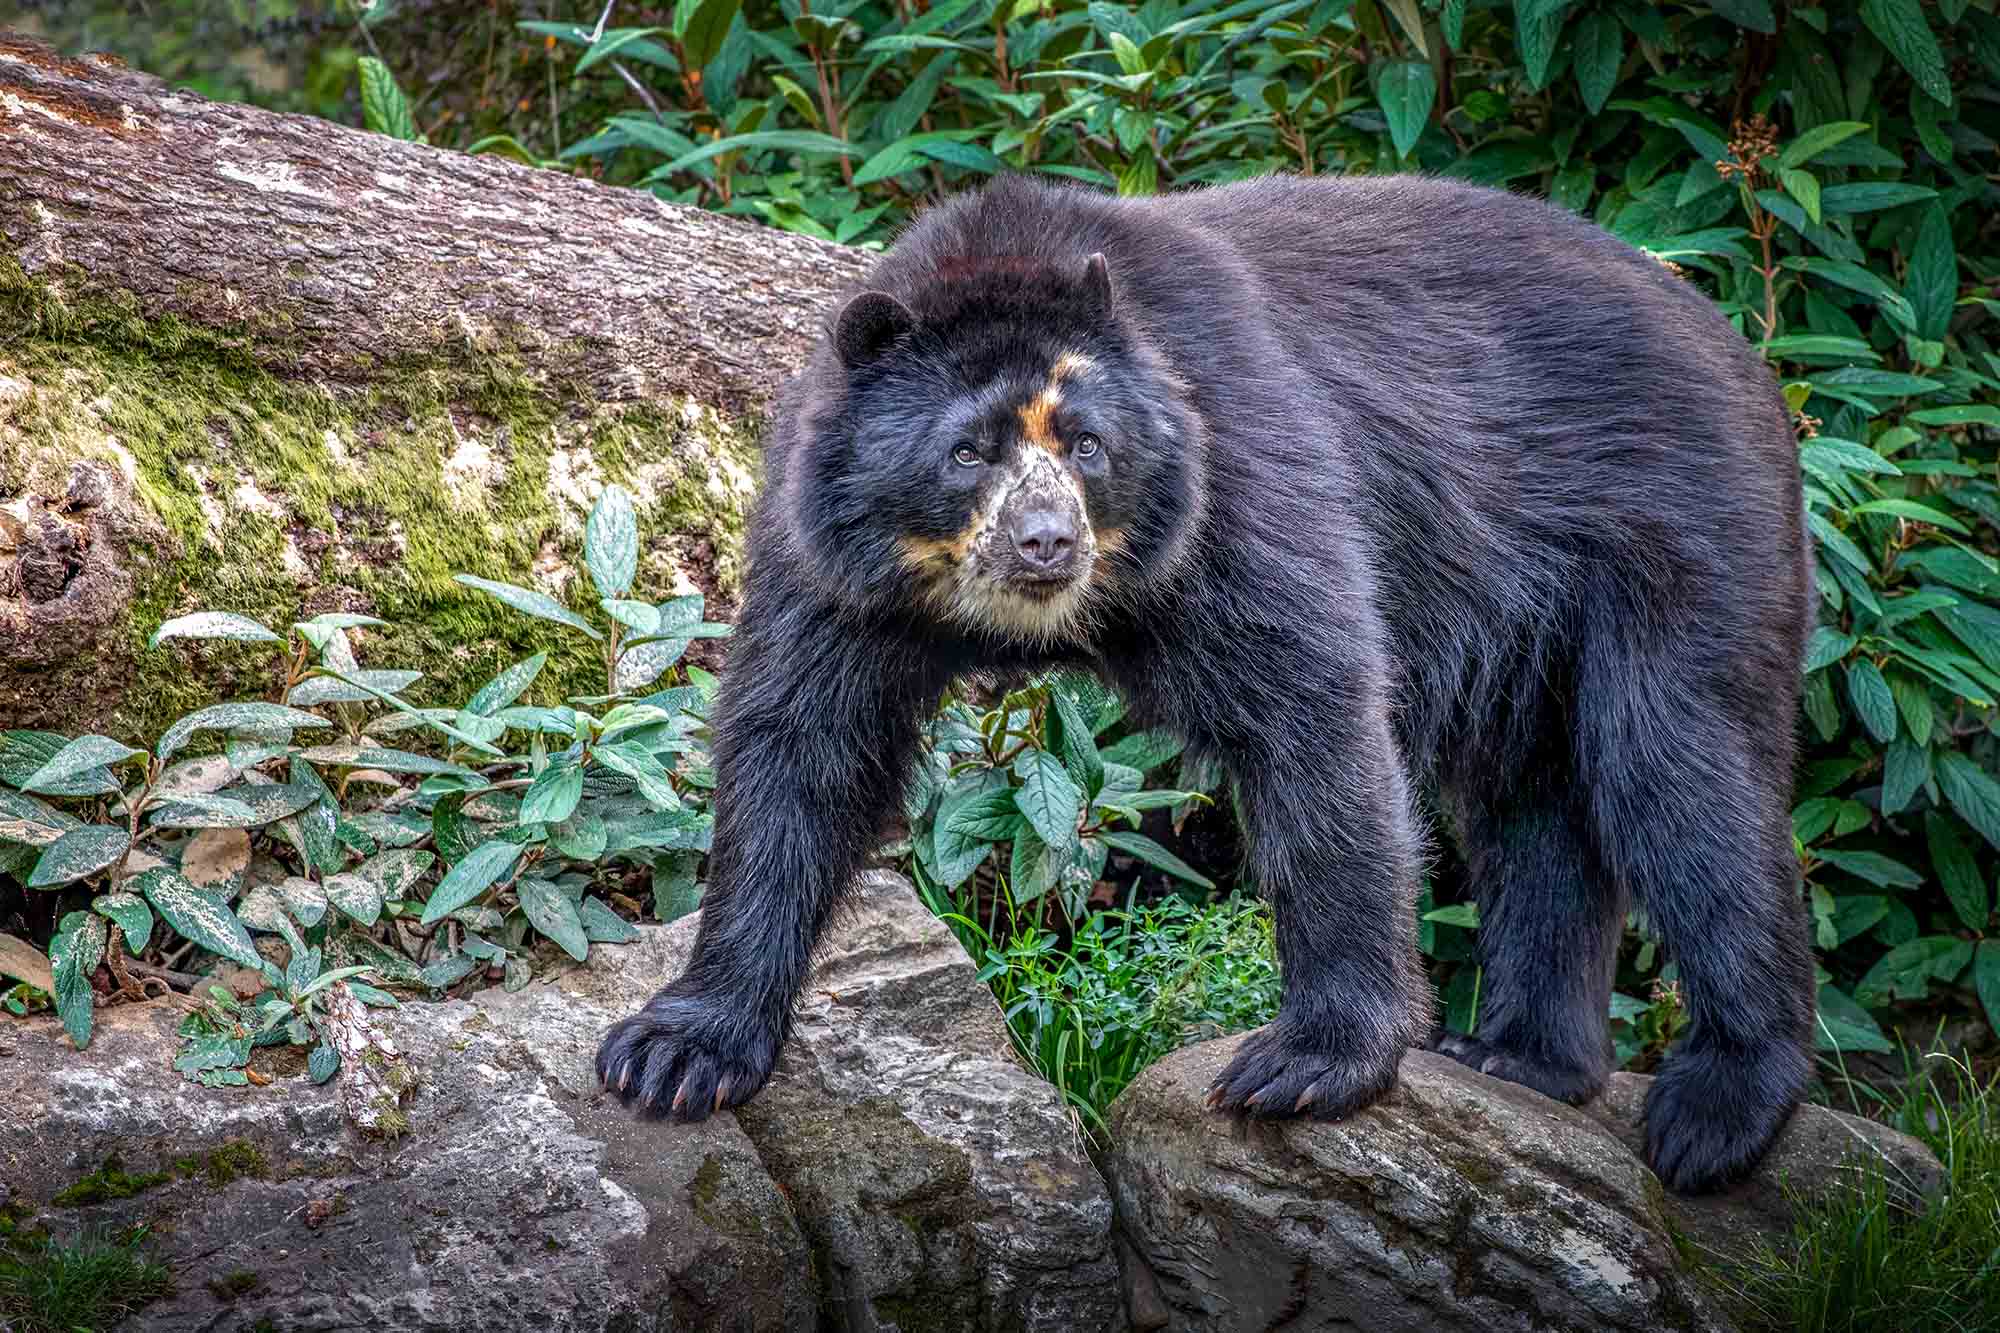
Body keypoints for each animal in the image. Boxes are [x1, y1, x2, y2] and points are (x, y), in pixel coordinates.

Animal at [596, 171, 1816, 1196]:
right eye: (966, 453)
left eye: (1086, 444)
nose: (1045, 544)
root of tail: (1736, 344)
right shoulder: (834, 562)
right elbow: (800, 744)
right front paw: (672, 1051)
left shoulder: (1233, 473)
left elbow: (1312, 711)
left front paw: (1306, 1062)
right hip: (1529, 612)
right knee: (1534, 799)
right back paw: (1520, 1056)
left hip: (1682, 531)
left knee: (1680, 770)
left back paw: (1715, 1107)